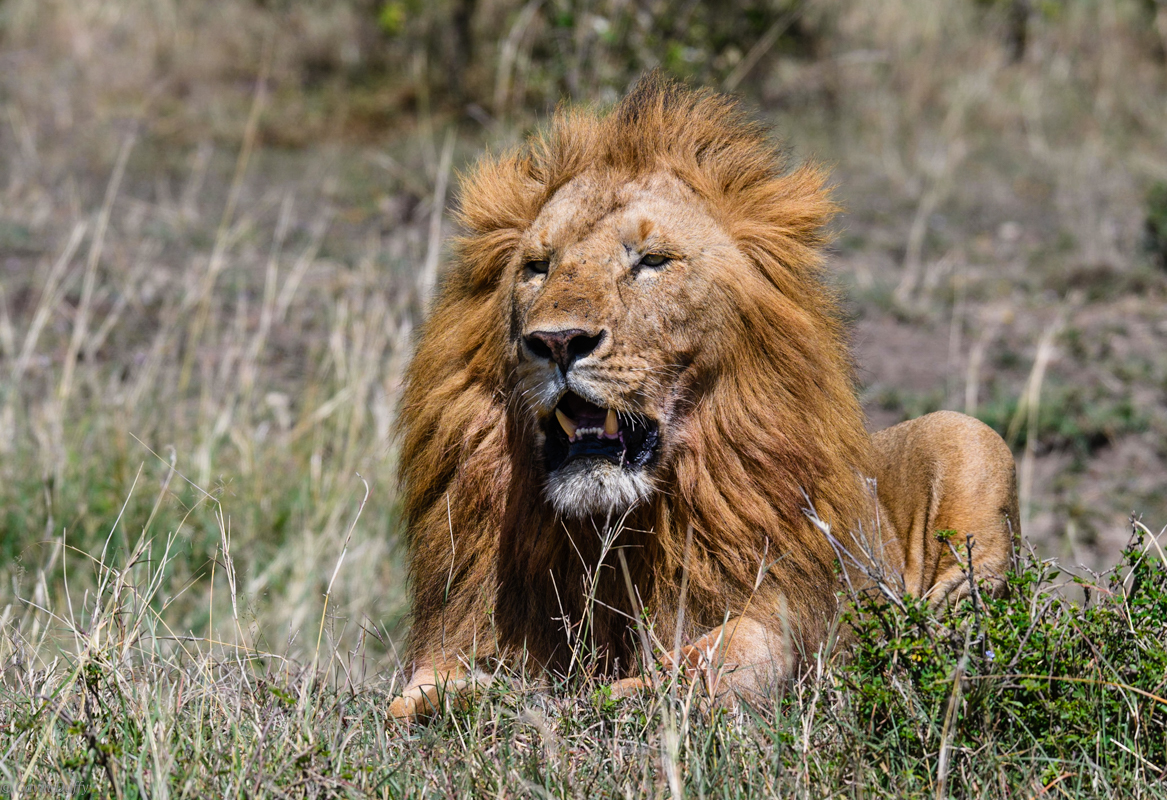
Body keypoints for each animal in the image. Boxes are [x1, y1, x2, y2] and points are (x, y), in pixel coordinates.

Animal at [387, 75, 1017, 723]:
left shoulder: (781, 601)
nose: (559, 341)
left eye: (651, 261)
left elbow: (724, 651)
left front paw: (627, 696)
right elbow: (418, 691)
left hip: (968, 434)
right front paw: (453, 702)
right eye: (538, 266)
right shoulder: (466, 624)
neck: (617, 530)